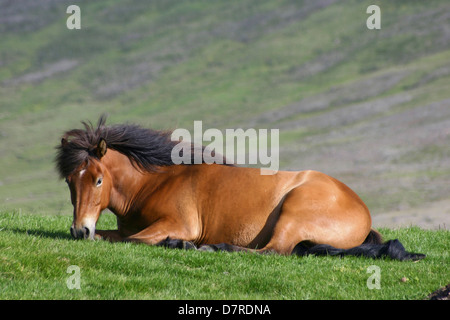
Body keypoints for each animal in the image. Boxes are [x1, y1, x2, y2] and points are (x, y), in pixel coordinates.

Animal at [55, 116, 426, 262]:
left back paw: (208, 247)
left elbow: (134, 240)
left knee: (273, 252)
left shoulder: (178, 223)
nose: (79, 230)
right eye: (71, 181)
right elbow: (112, 237)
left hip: (291, 213)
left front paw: (181, 243)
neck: (155, 182)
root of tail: (363, 211)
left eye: (98, 180)